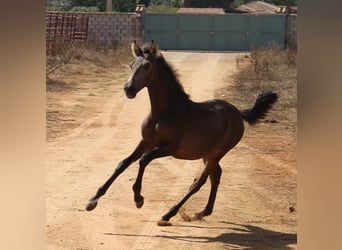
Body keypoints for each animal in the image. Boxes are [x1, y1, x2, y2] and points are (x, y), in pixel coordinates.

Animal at [86, 40, 278, 226]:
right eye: (132, 64)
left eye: (147, 66)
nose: (128, 89)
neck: (164, 113)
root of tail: (239, 113)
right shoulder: (145, 142)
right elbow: (123, 163)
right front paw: (93, 200)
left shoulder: (168, 148)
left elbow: (143, 160)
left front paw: (138, 198)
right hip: (206, 154)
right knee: (215, 176)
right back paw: (202, 212)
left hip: (217, 153)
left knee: (199, 182)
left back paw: (168, 215)